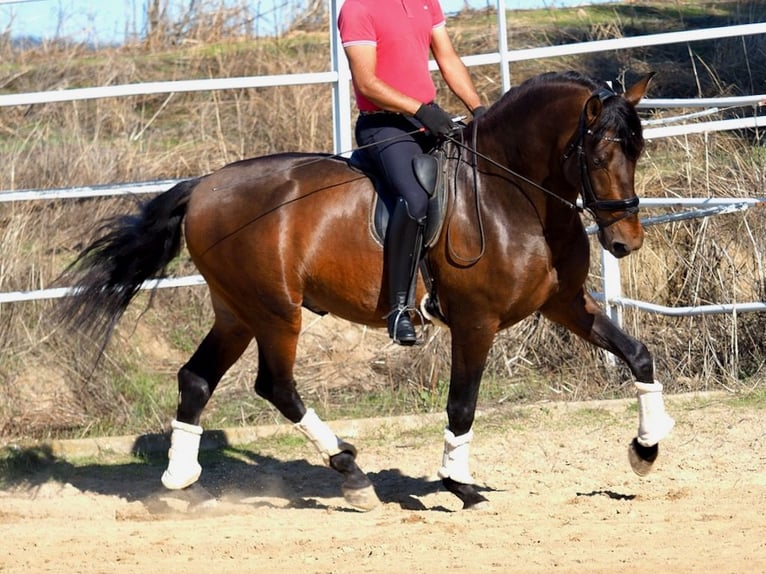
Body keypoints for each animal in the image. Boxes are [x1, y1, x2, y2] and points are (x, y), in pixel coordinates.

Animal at [60, 71, 676, 512]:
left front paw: (646, 450)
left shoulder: (564, 303)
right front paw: (459, 484)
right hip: (276, 311)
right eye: (599, 155)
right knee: (275, 385)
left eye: (637, 151)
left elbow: (639, 355)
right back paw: (350, 475)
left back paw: (182, 483)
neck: (511, 194)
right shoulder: (475, 321)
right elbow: (462, 403)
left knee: (196, 378)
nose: (625, 242)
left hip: (236, 310)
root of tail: (204, 186)